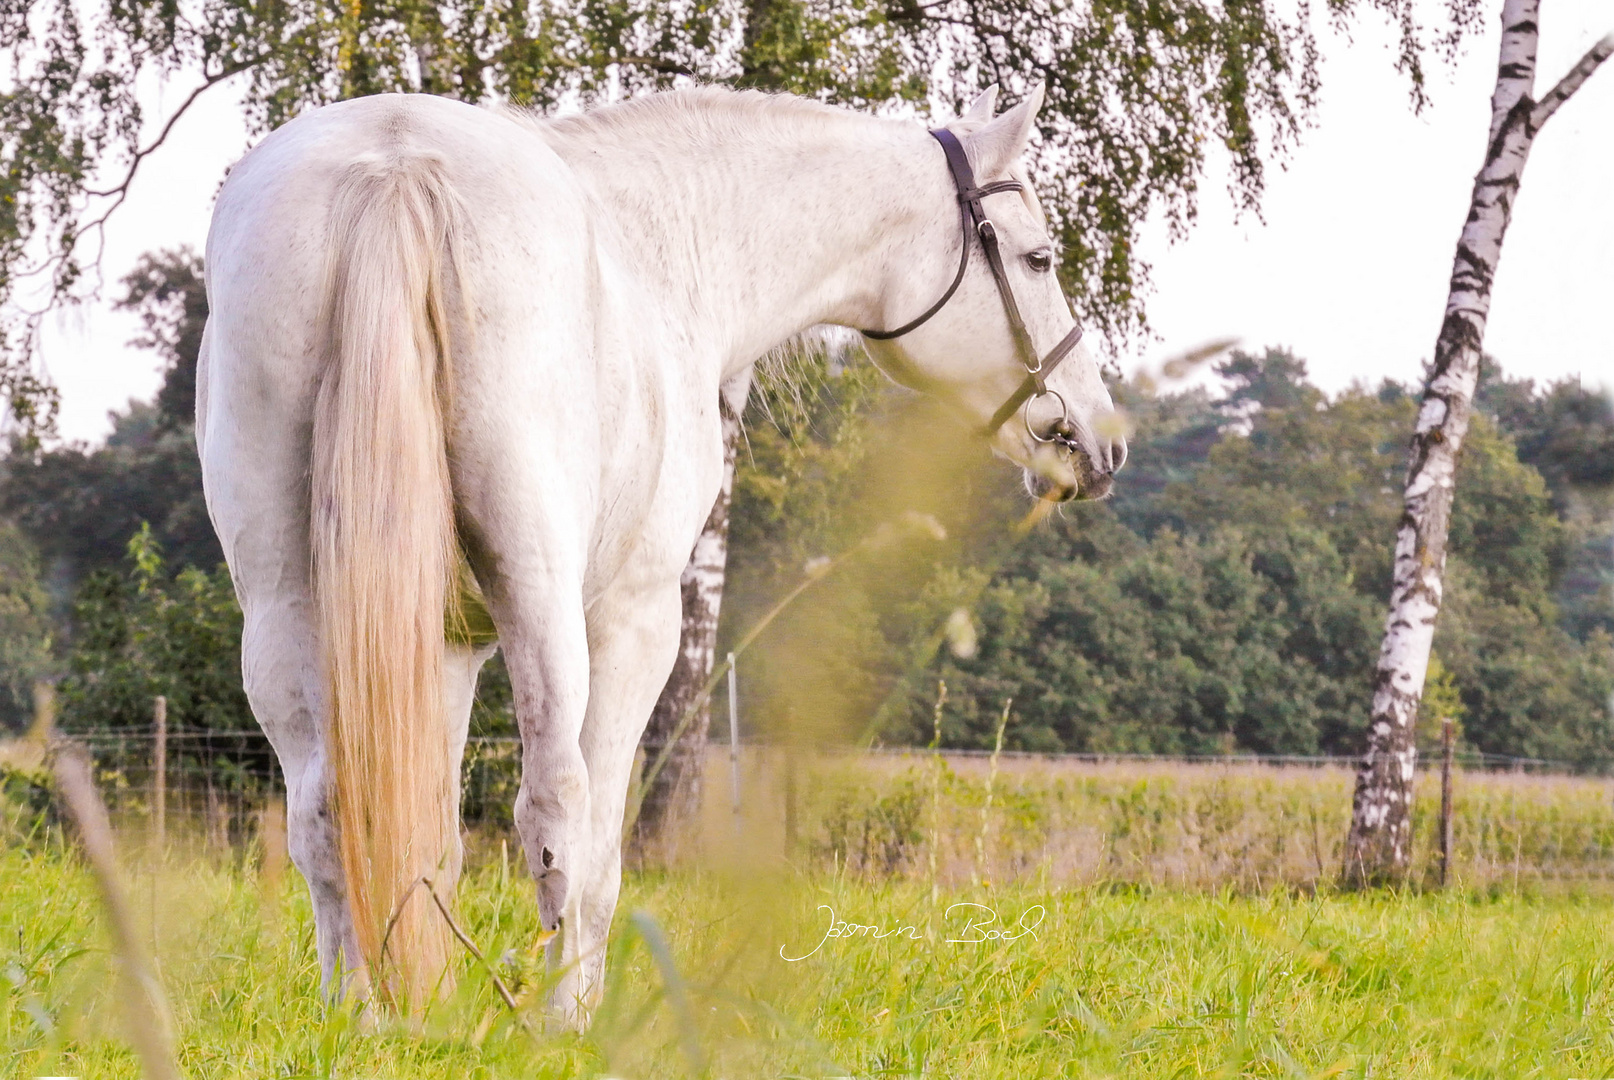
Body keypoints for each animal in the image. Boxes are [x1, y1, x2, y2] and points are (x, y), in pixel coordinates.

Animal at [198, 82, 1123, 1020]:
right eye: (1039, 258)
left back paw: (359, 1015)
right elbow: (596, 850)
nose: (1100, 439)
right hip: (544, 604)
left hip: (284, 611)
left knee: (326, 814)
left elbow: (426, 838)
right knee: (554, 813)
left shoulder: (445, 646)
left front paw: (423, 1007)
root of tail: (396, 161)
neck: (664, 249)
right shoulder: (635, 620)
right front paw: (574, 1011)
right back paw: (552, 1017)